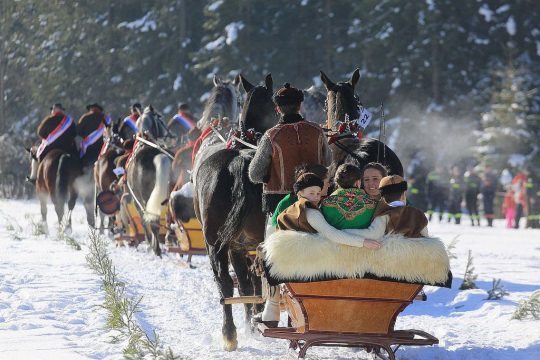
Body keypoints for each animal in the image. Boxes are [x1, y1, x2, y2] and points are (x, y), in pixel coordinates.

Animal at [192, 74, 278, 352]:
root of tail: (238, 163)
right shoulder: (241, 248)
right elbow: (250, 284)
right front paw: (253, 318)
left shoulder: (235, 247)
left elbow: (244, 285)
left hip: (216, 244)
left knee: (226, 285)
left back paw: (230, 333)